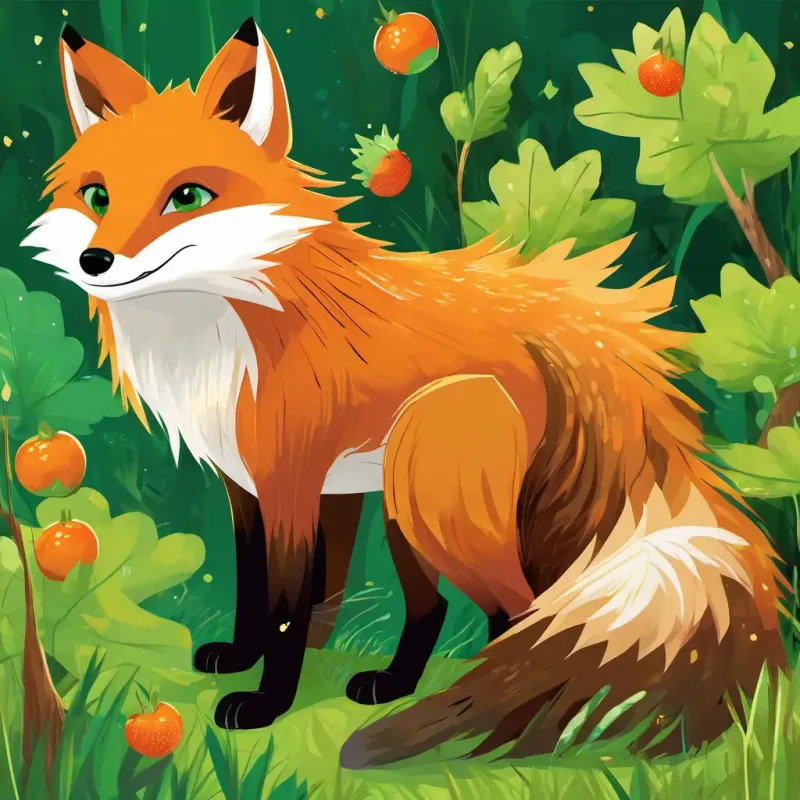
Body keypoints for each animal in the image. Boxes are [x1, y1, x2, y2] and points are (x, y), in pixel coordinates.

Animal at [22, 17, 787, 769]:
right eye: (97, 197)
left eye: (187, 197)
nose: (96, 260)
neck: (217, 337)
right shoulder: (252, 486)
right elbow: (260, 590)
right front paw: (244, 658)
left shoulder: (291, 480)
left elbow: (286, 606)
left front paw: (266, 703)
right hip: (401, 499)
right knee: (437, 609)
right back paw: (395, 685)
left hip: (428, 484)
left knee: (520, 611)